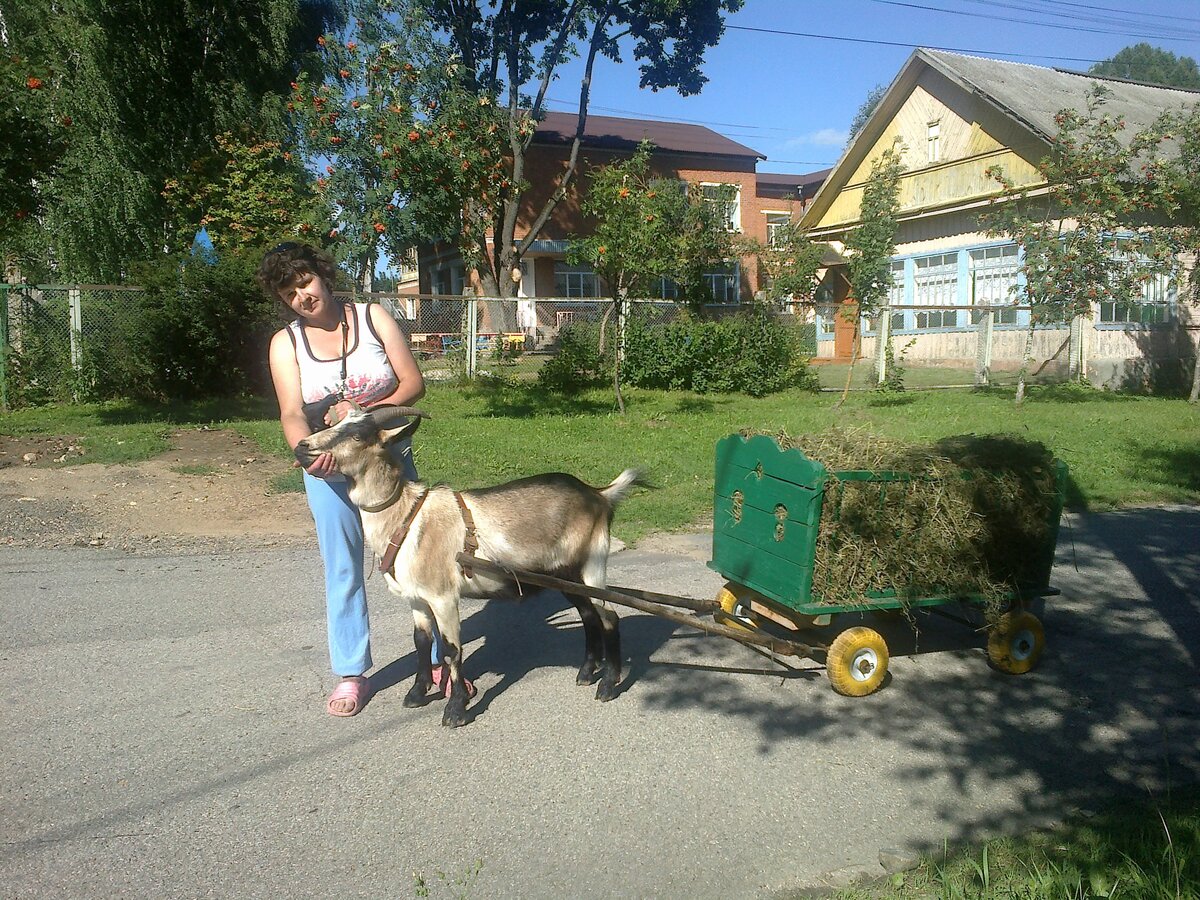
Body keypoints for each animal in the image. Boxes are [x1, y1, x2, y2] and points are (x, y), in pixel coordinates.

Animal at [294, 405, 643, 729]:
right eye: (336, 422)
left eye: (357, 435)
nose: (301, 446)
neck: (406, 516)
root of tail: (599, 494)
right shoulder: (416, 598)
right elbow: (421, 641)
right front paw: (417, 694)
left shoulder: (443, 597)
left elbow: (451, 650)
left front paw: (455, 710)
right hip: (565, 574)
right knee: (588, 615)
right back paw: (585, 673)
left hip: (592, 564)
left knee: (609, 616)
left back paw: (607, 685)